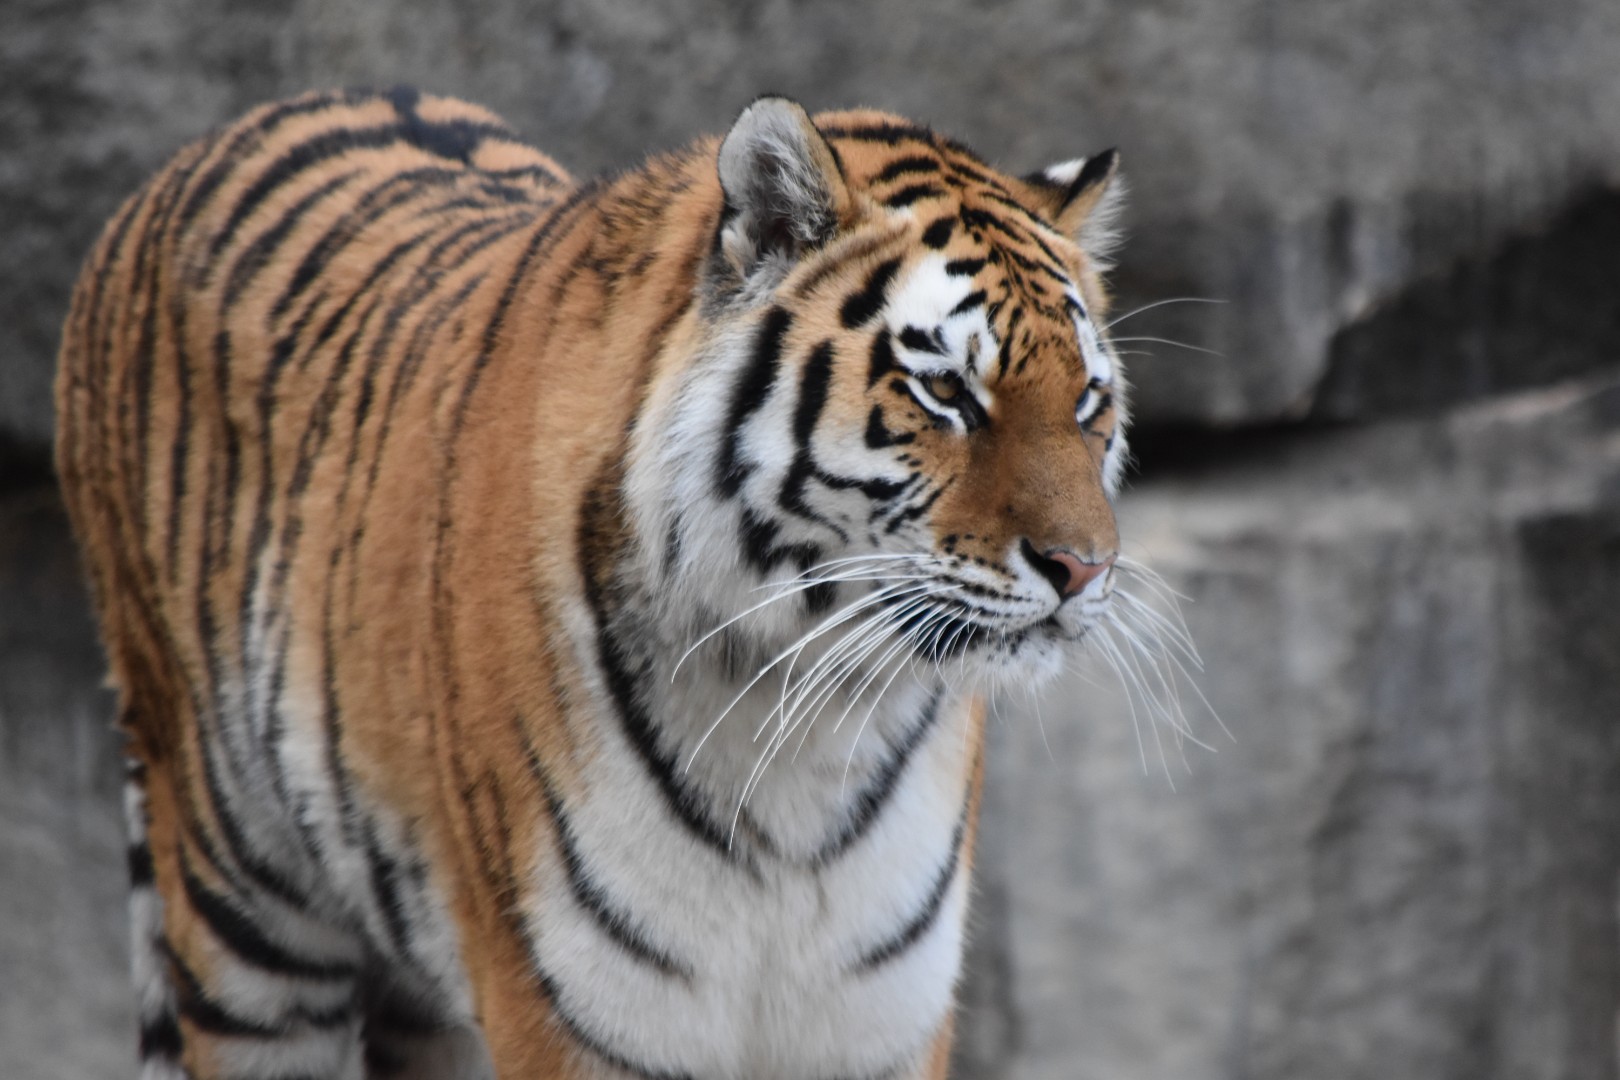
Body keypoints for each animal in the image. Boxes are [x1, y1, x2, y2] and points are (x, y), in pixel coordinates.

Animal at [55, 86, 1130, 1079]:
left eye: (1087, 400)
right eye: (945, 390)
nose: (1084, 567)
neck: (802, 726)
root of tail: (195, 154)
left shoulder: (881, 1022)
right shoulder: (573, 1013)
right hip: (240, 921)